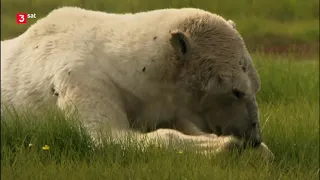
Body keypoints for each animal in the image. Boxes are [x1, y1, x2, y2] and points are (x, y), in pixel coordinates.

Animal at [1, 6, 274, 157]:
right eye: (235, 91)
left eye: (256, 87)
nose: (254, 137)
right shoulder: (80, 77)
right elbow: (108, 135)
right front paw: (224, 145)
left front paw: (261, 151)